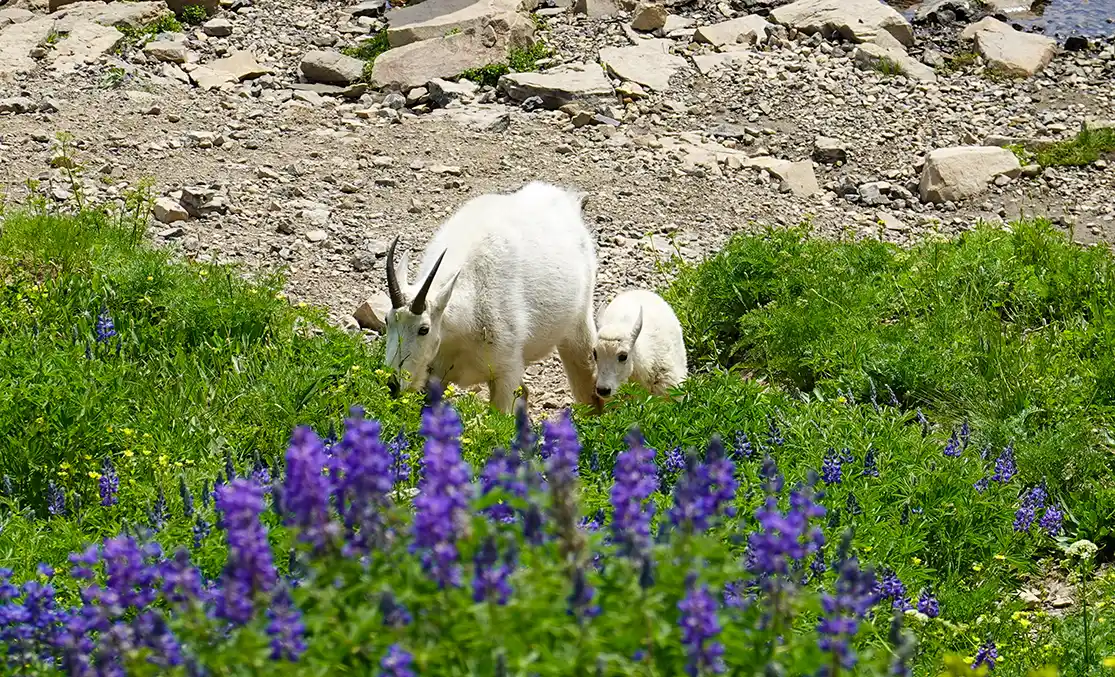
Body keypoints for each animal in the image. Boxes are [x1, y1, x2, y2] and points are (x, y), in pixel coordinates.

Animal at [372, 181, 602, 412]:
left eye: (424, 329)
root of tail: (566, 201)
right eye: (387, 320)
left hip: (577, 324)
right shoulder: (435, 375)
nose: (391, 383)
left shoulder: (506, 374)